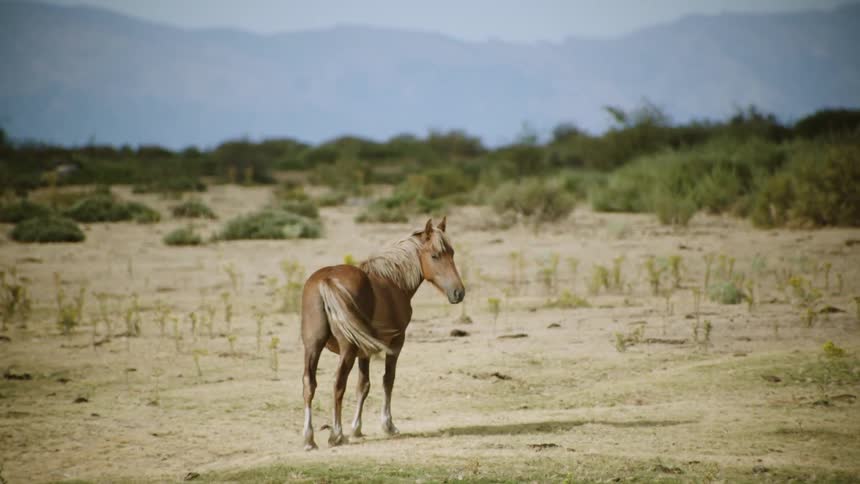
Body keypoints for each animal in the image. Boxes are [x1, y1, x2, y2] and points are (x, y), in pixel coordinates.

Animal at [300, 217, 465, 450]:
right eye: (435, 255)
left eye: (452, 253)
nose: (458, 292)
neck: (393, 282)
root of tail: (327, 280)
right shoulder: (396, 343)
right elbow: (388, 380)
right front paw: (388, 425)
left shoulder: (364, 351)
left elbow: (363, 385)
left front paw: (357, 428)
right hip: (347, 349)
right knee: (338, 384)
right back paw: (336, 434)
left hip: (312, 346)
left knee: (309, 384)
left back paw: (309, 438)